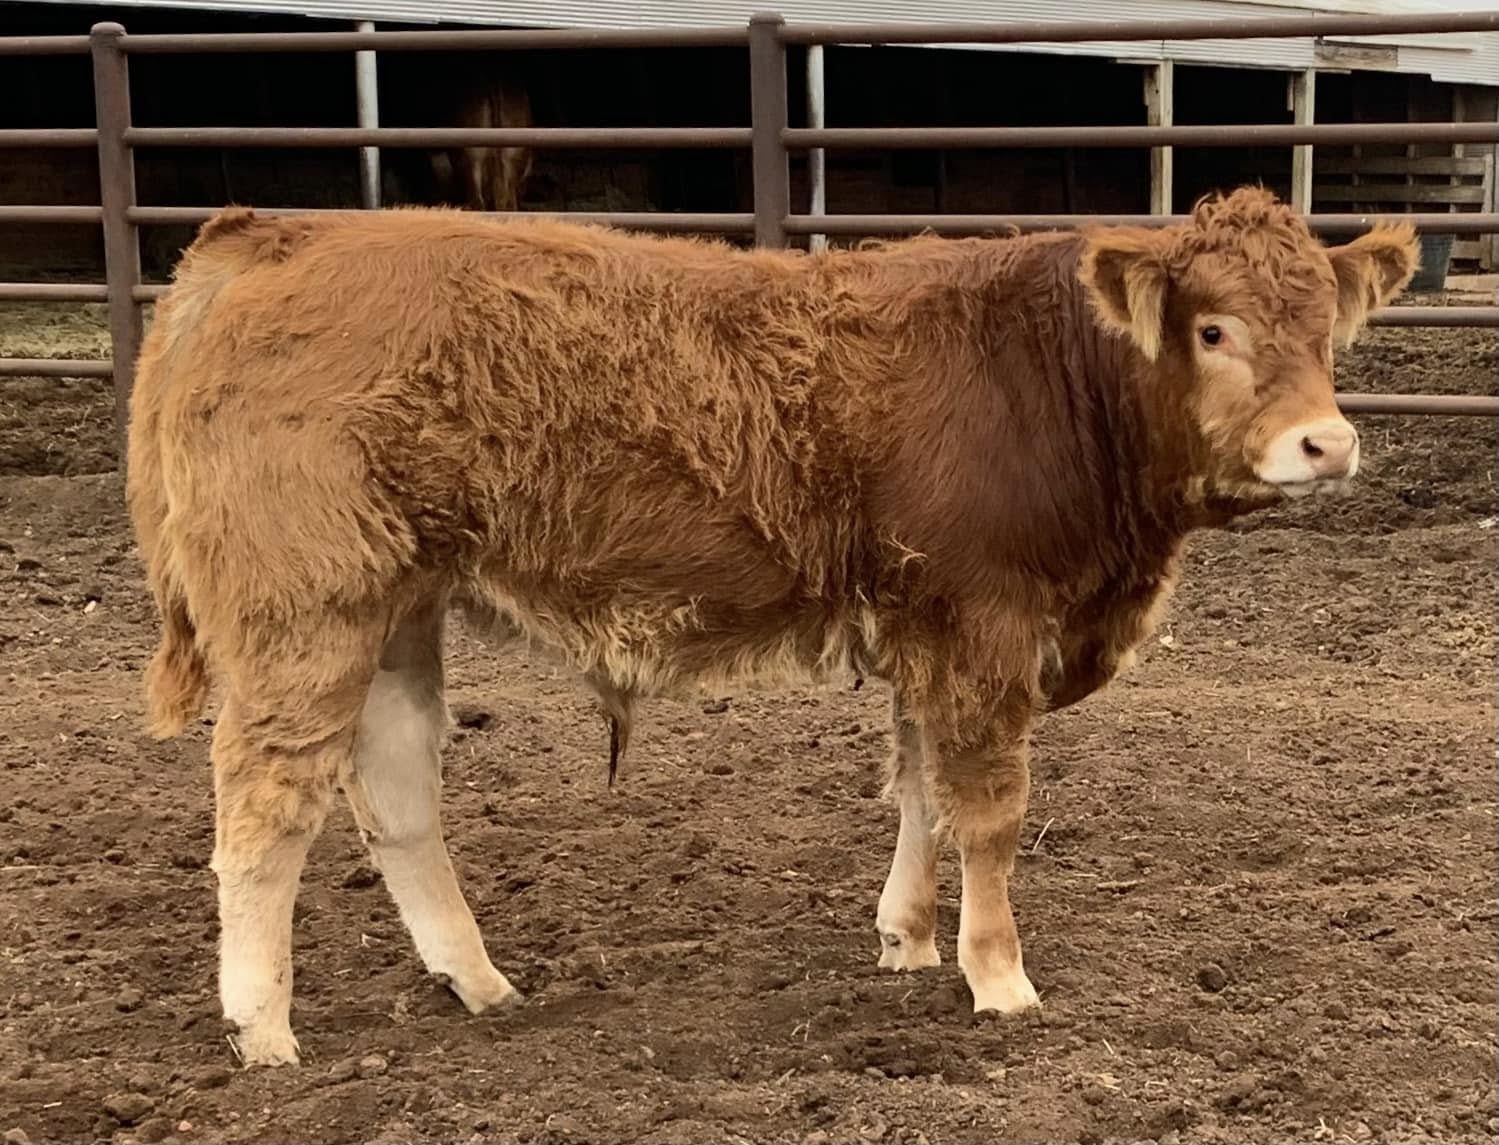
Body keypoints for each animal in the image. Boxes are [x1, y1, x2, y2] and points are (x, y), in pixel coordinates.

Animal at [125, 187, 1418, 1066]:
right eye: (1213, 329)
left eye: (1326, 331)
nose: (1324, 442)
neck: (1041, 368)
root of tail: (275, 234)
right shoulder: (985, 618)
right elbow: (987, 811)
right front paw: (995, 976)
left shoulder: (923, 622)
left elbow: (917, 789)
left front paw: (904, 938)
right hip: (308, 611)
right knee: (265, 808)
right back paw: (263, 1027)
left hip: (397, 605)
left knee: (395, 798)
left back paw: (479, 981)